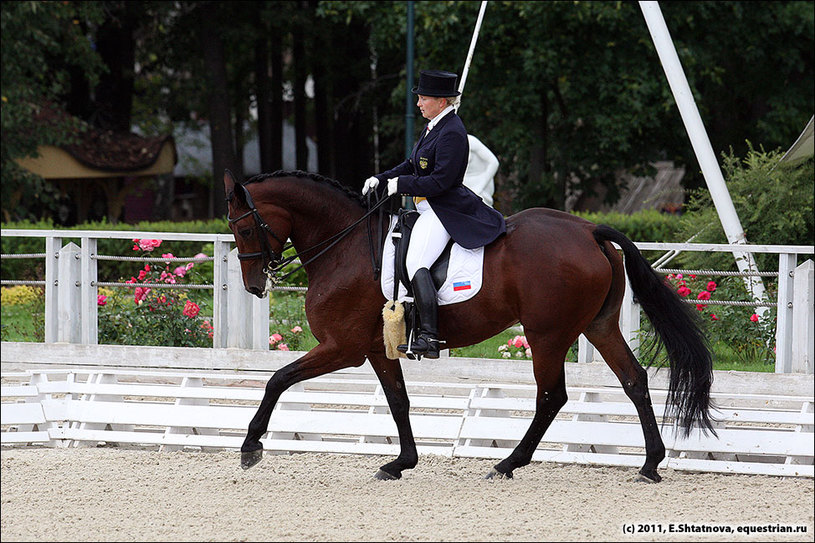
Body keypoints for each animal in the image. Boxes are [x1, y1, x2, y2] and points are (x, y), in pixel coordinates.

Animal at [223, 168, 712, 482]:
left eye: (244, 229)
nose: (254, 285)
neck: (345, 245)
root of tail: (590, 229)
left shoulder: (342, 346)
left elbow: (278, 379)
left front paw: (250, 447)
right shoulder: (376, 348)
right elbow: (398, 402)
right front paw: (401, 462)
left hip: (547, 333)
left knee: (552, 396)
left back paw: (509, 463)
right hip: (599, 325)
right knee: (633, 380)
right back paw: (650, 465)